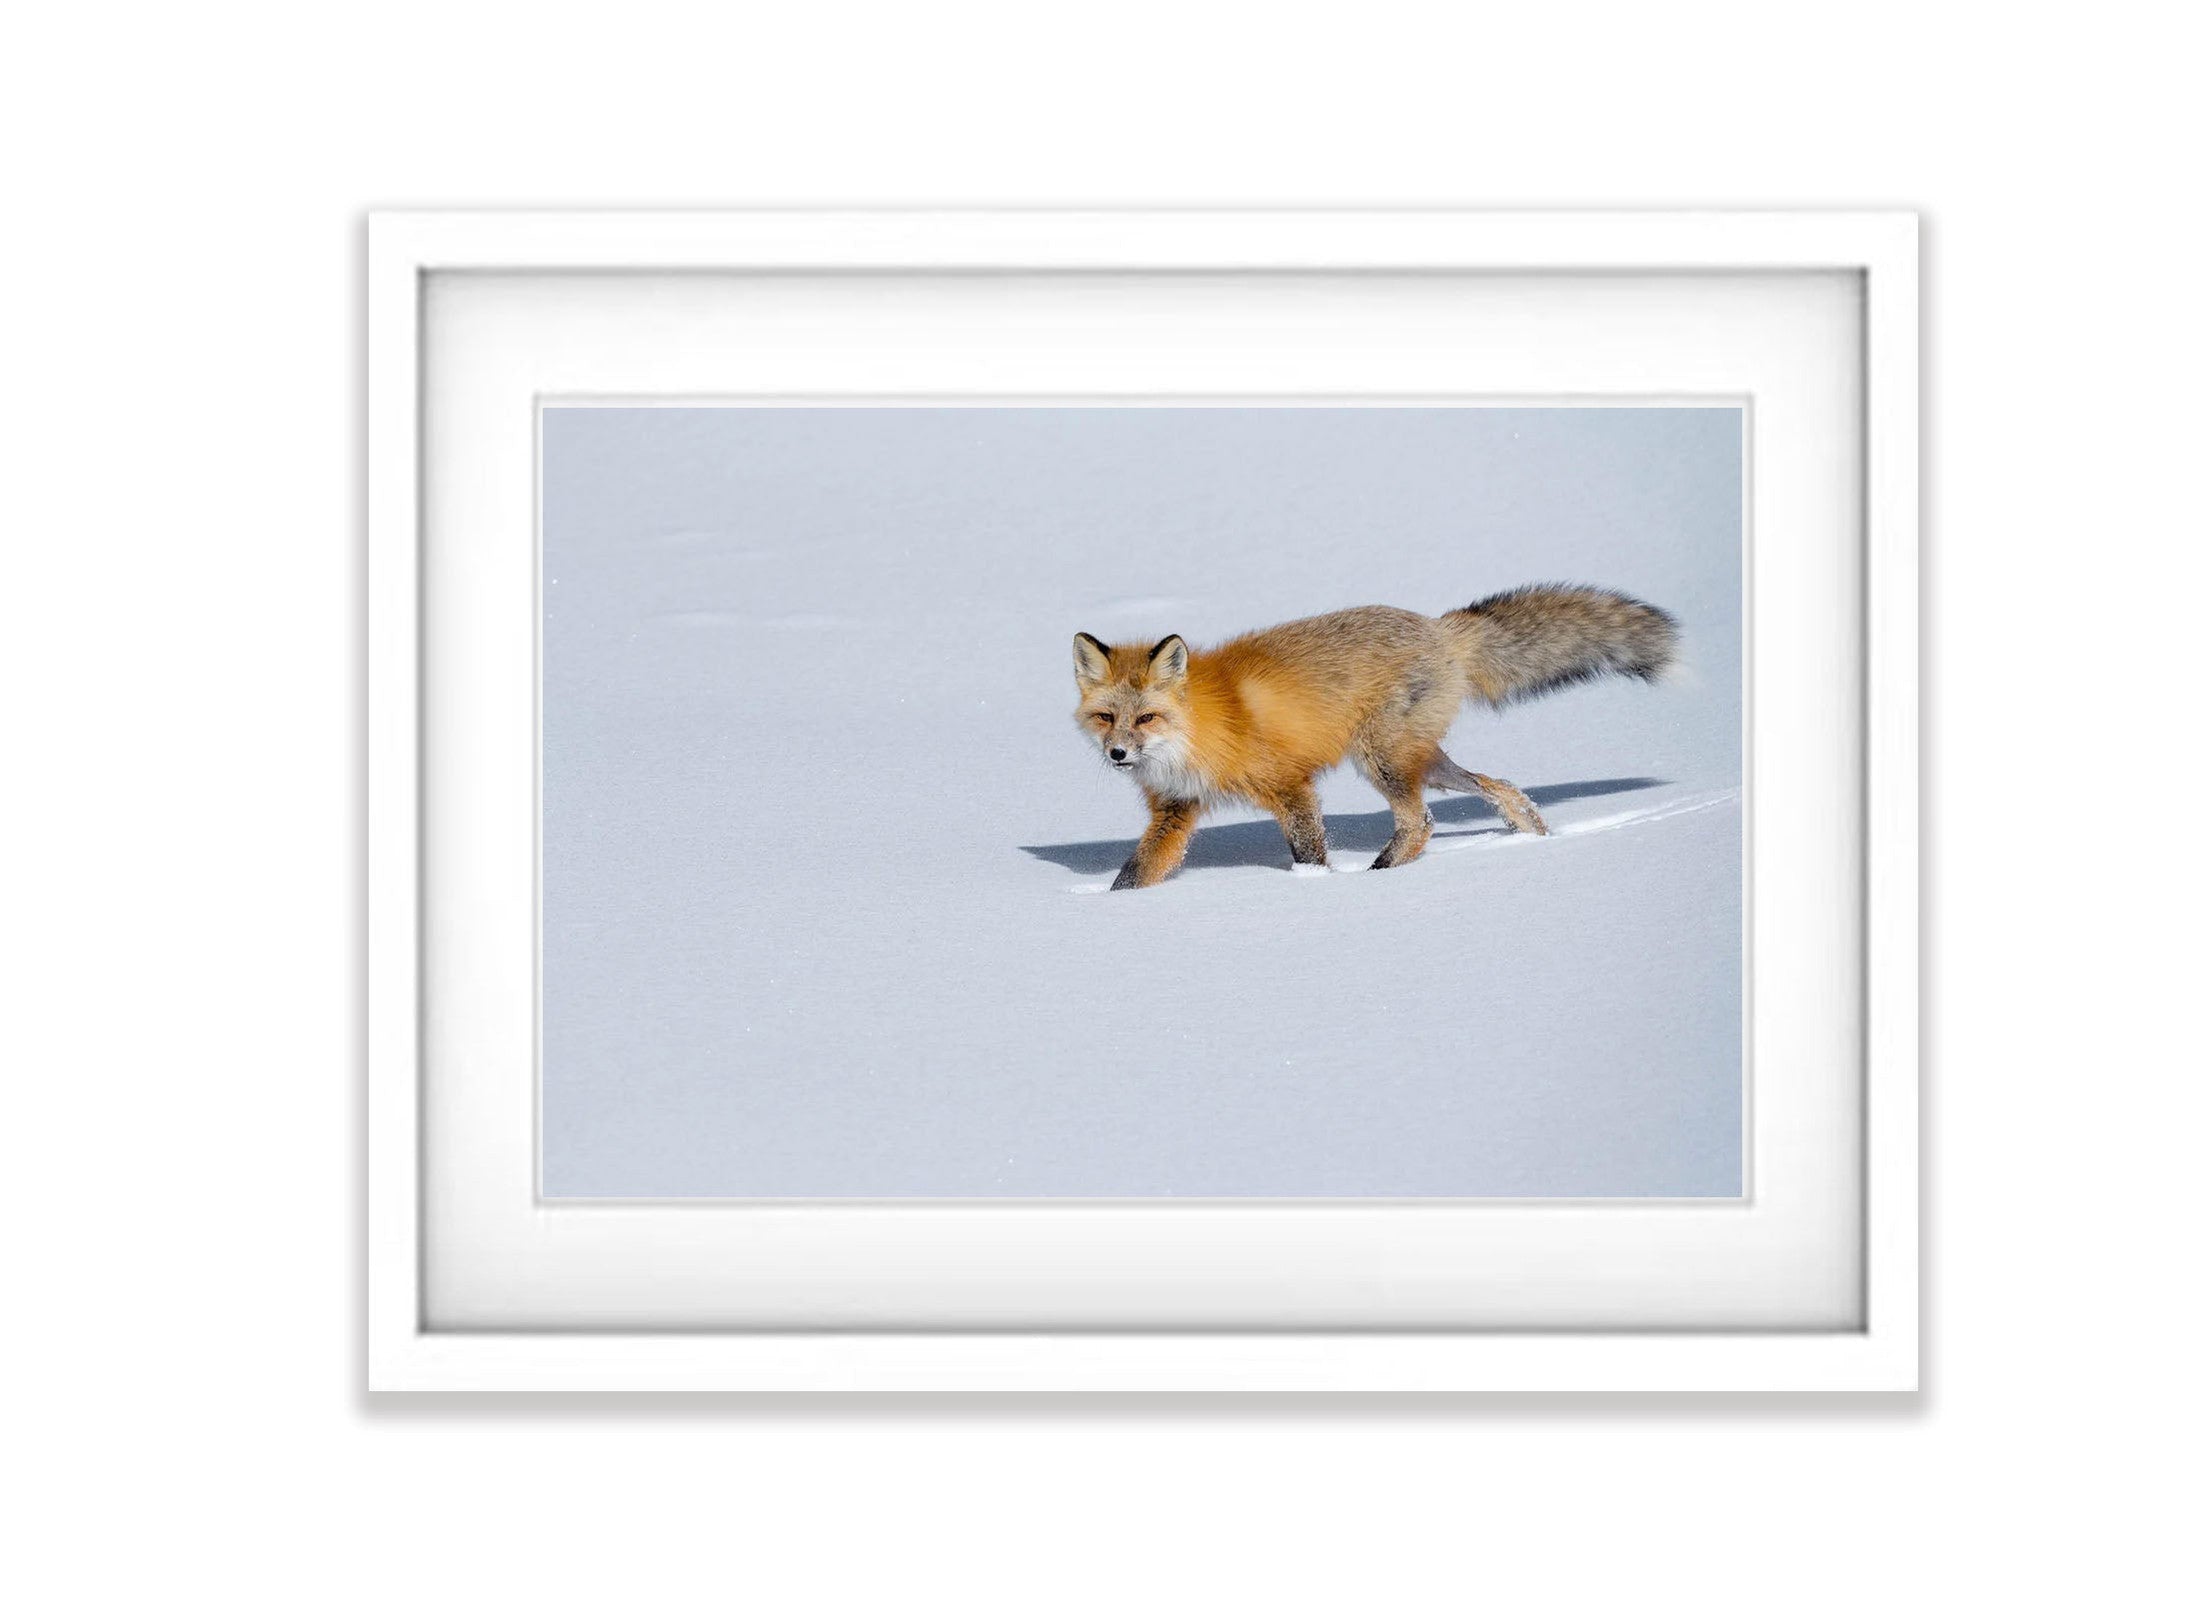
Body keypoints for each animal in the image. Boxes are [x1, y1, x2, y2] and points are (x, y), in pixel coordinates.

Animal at [1071, 585, 1676, 889]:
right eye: (1106, 717)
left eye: (1146, 718)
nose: (1117, 754)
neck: (1196, 733)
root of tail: (1439, 628)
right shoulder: (1176, 809)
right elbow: (1135, 873)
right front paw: (1108, 908)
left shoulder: (1290, 787)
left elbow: (1310, 853)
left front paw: (1313, 889)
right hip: (1423, 761)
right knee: (1499, 785)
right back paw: (1533, 836)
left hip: (1380, 758)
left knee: (1421, 821)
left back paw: (1379, 876)